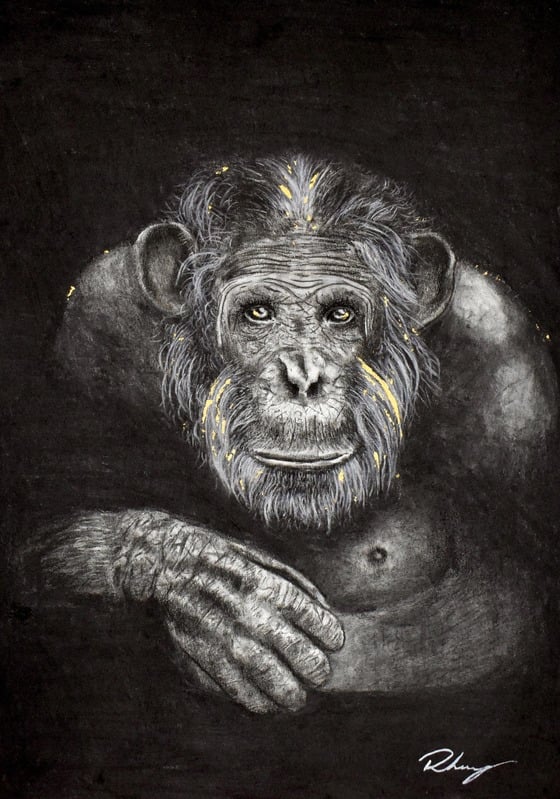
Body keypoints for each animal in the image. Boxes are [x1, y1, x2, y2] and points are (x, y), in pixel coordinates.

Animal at [24, 154, 558, 717]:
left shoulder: (505, 359)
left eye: (339, 314)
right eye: (259, 312)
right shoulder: (92, 320)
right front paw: (211, 589)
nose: (303, 377)